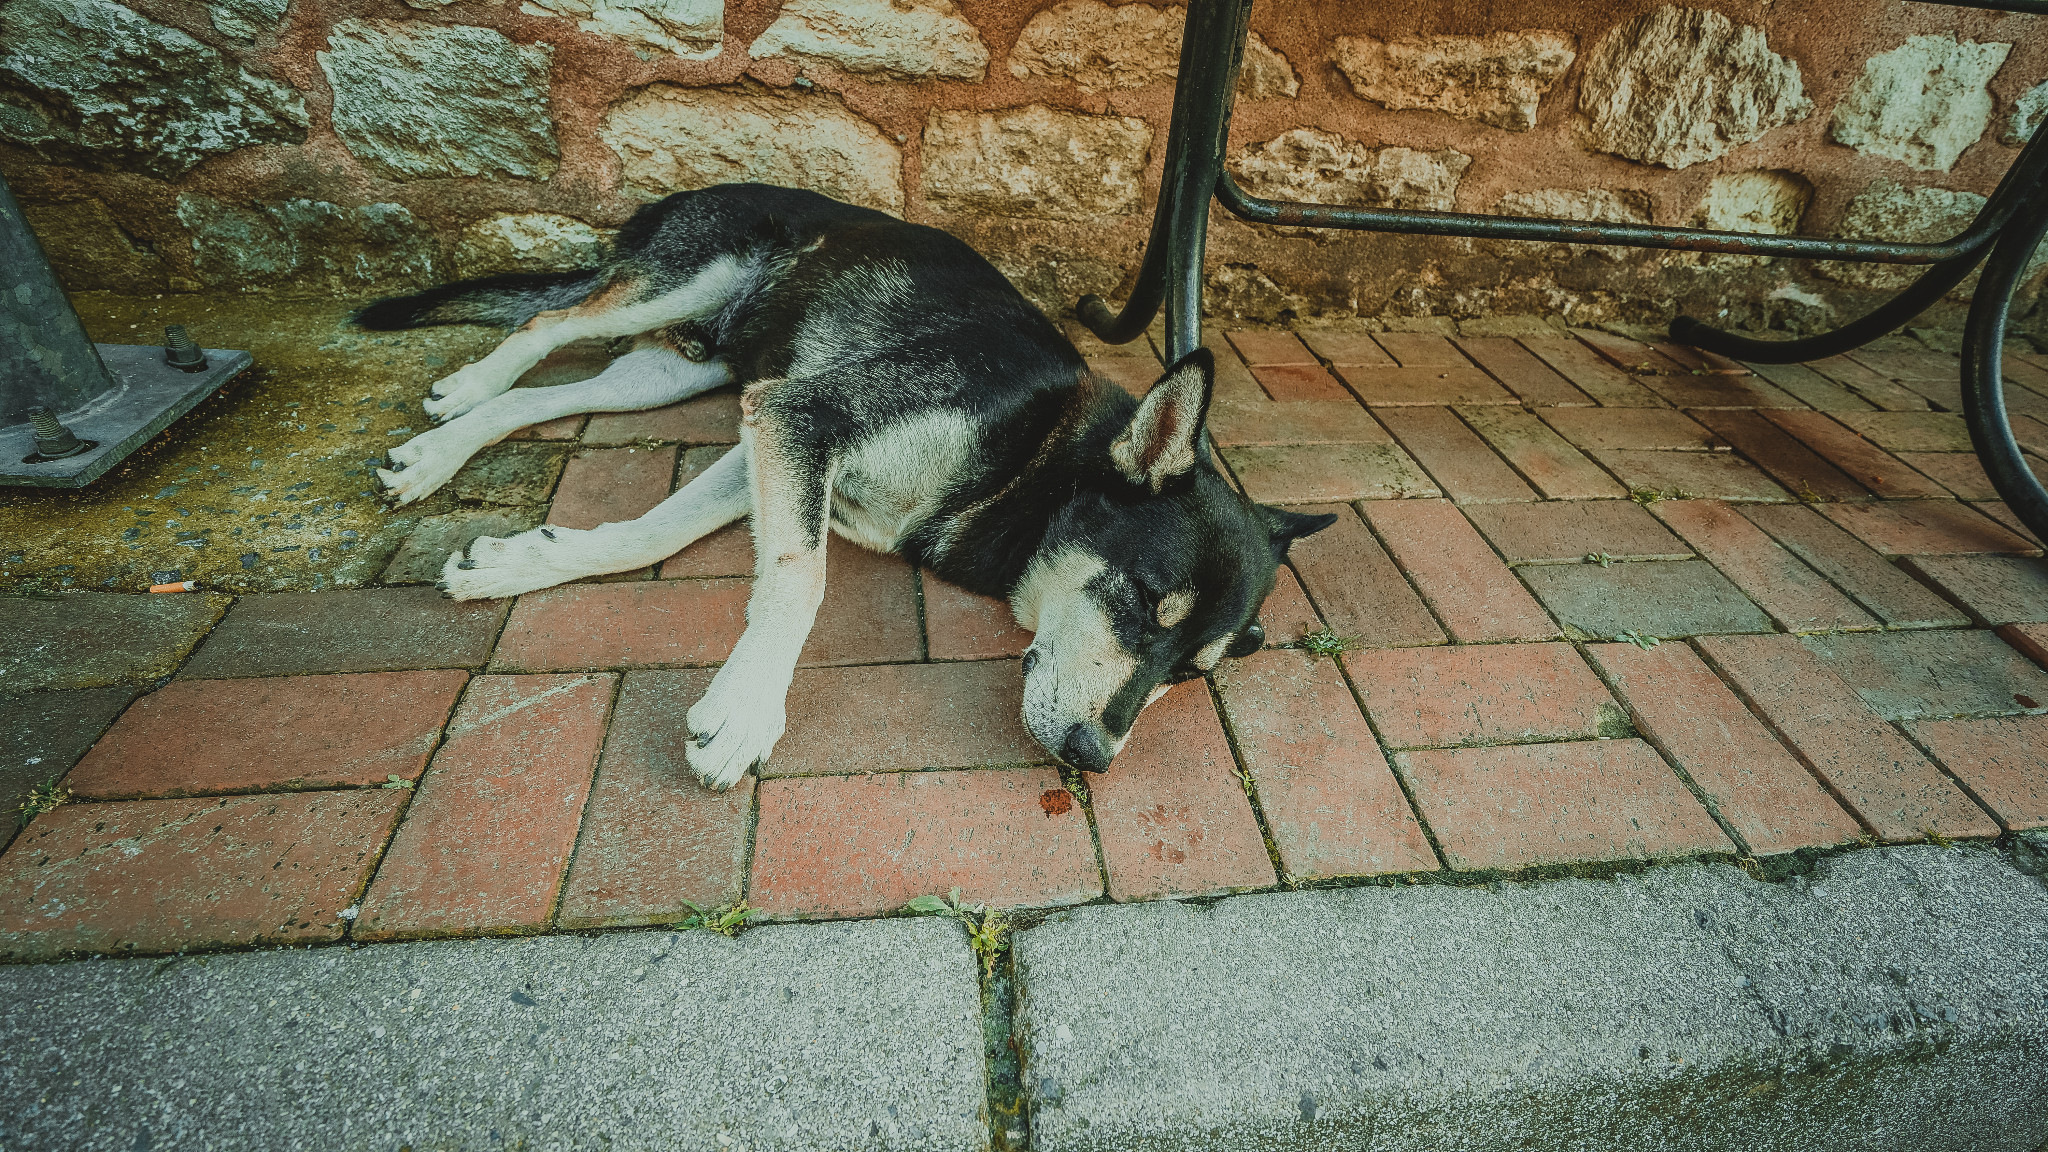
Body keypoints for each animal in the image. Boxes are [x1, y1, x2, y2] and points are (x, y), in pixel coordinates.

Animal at [360, 183, 1335, 787]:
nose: (1094, 757)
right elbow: (802, 577)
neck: (1031, 462)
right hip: (688, 281)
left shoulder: (771, 430)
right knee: (548, 324)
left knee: (555, 391)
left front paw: (518, 563)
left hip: (683, 366)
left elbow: (657, 532)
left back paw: (443, 446)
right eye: (1141, 600)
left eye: (1196, 674)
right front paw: (747, 709)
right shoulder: (802, 416)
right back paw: (466, 390)